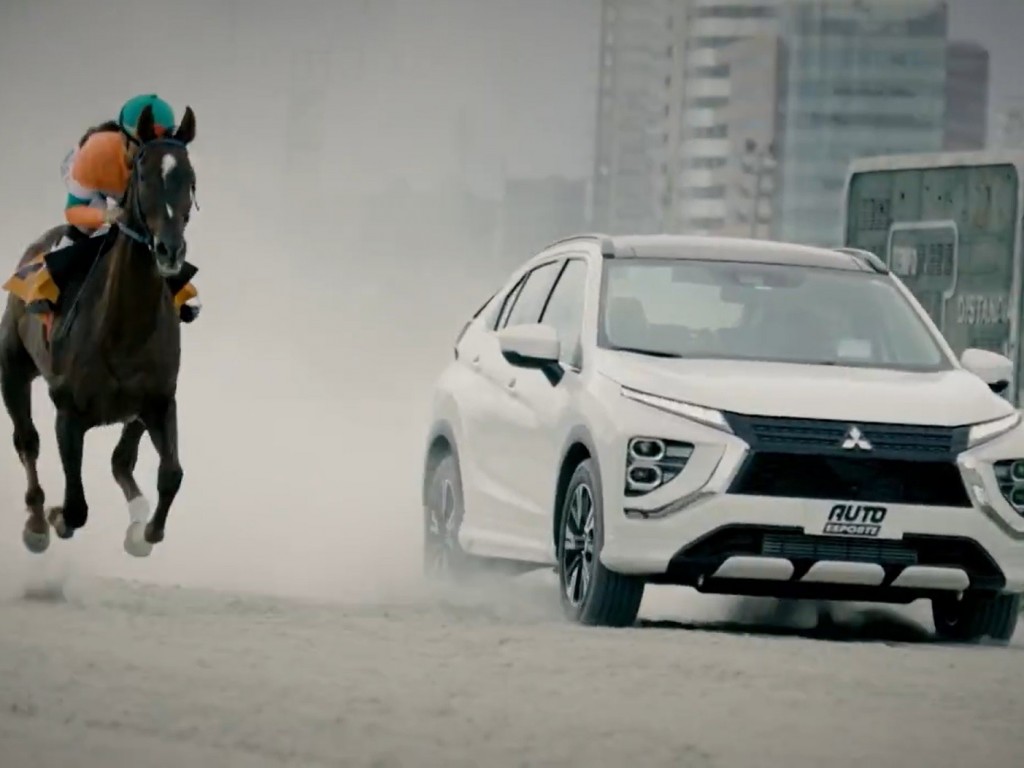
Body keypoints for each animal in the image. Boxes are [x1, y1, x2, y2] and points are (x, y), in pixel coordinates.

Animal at [0, 103, 197, 561]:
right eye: (143, 175)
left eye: (190, 176)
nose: (170, 250)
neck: (125, 330)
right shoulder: (68, 412)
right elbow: (76, 507)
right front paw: (54, 518)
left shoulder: (160, 399)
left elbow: (171, 474)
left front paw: (146, 532)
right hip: (12, 364)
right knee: (26, 440)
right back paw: (37, 522)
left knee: (121, 459)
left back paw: (136, 516)